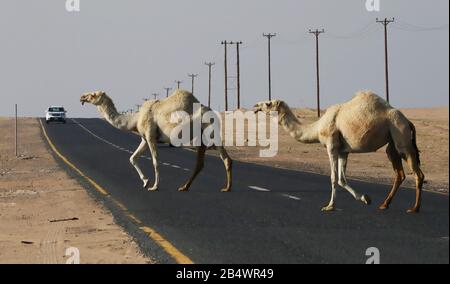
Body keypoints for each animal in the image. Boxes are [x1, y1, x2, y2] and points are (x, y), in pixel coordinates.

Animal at [79, 90, 232, 193]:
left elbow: (155, 161)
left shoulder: (150, 135)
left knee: (218, 159)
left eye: (93, 95)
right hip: (206, 137)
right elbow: (132, 158)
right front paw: (145, 182)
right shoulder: (144, 138)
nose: (82, 97)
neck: (134, 119)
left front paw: (154, 186)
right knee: (212, 161)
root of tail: (212, 112)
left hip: (208, 132)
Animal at [255, 91, 424, 213]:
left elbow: (333, 177)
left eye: (268, 103)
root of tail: (408, 121)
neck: (317, 128)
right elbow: (342, 179)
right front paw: (365, 198)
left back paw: (414, 208)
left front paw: (329, 206)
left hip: (401, 135)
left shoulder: (332, 146)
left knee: (418, 174)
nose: (256, 105)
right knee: (399, 173)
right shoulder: (344, 151)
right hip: (392, 141)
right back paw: (384, 204)